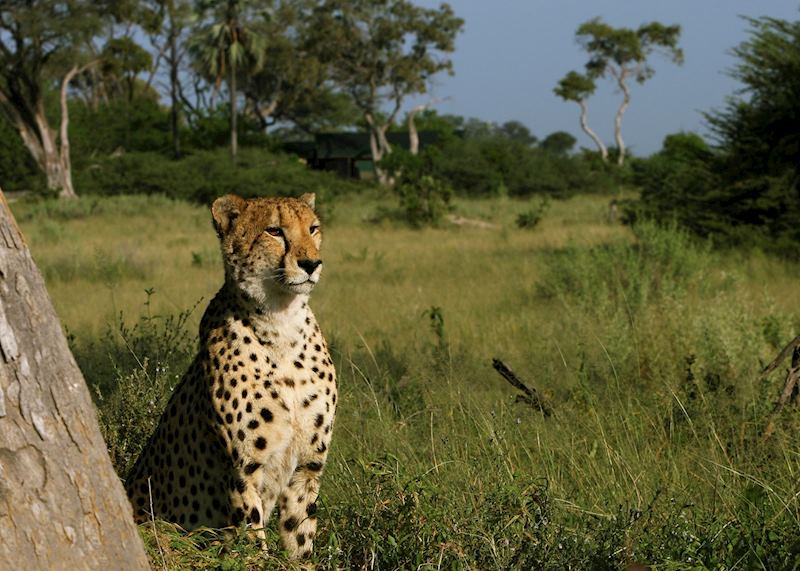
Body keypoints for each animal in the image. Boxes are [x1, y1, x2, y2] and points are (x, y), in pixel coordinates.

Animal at [125, 192, 337, 560]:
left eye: (313, 228)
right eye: (274, 231)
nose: (312, 263)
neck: (281, 322)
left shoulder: (307, 468)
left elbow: (300, 538)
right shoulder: (243, 470)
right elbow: (252, 538)